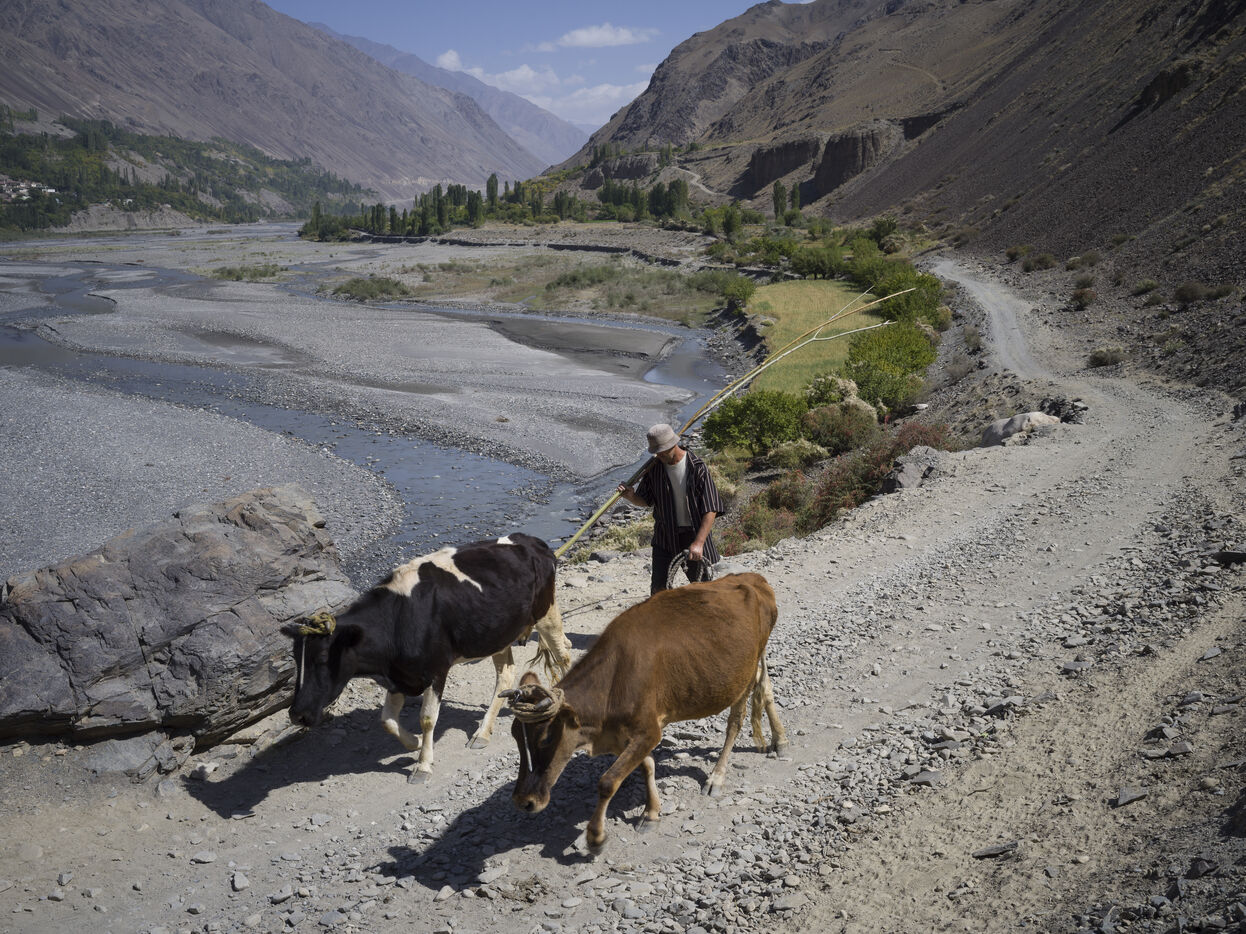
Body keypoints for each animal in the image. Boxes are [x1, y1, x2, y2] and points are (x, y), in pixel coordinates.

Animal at [281, 533, 572, 783]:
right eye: (295, 658)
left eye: (321, 657)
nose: (297, 714)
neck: (398, 619)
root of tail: (530, 540)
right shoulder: (400, 676)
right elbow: (386, 720)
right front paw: (416, 743)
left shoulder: (435, 670)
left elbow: (427, 718)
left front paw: (422, 766)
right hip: (497, 632)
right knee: (506, 674)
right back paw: (482, 733)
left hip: (546, 612)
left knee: (564, 654)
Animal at [502, 571, 787, 852]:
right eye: (516, 738)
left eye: (546, 738)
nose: (523, 801)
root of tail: (753, 578)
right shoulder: (627, 735)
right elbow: (647, 766)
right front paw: (651, 813)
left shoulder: (649, 731)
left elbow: (607, 782)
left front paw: (595, 836)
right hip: (754, 662)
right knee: (767, 687)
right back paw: (780, 739)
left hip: (743, 677)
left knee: (736, 721)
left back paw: (716, 777)